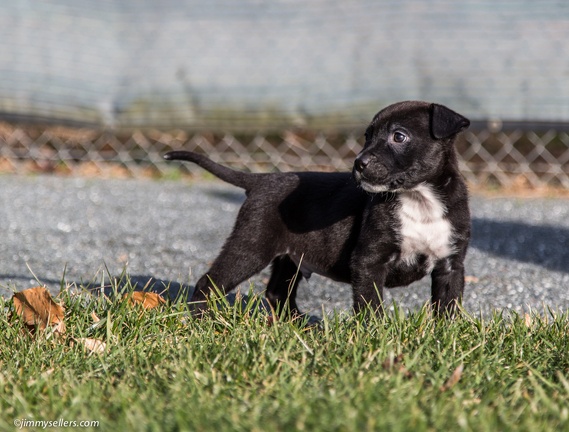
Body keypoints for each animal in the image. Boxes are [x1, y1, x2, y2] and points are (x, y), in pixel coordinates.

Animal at [164, 101, 470, 318]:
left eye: (399, 136)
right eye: (367, 136)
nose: (358, 163)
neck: (419, 200)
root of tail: (261, 179)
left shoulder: (450, 265)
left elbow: (448, 308)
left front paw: (443, 337)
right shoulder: (368, 262)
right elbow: (370, 307)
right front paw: (374, 335)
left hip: (288, 258)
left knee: (277, 293)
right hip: (251, 246)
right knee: (209, 283)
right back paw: (203, 321)